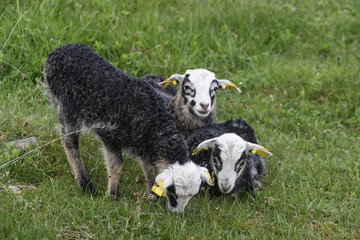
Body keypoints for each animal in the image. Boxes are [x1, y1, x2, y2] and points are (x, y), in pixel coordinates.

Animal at [44, 44, 214, 213]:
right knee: (69, 142)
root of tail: (60, 50)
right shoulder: (110, 135)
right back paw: (85, 184)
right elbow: (116, 165)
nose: (177, 214)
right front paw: (113, 195)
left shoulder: (146, 146)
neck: (156, 124)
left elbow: (149, 170)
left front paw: (151, 195)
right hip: (67, 107)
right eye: (173, 192)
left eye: (191, 196)